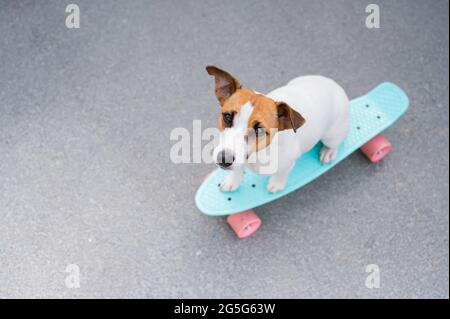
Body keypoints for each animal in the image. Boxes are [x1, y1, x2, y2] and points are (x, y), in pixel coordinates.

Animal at [206, 65, 350, 192]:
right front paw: (232, 181)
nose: (224, 159)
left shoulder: (288, 163)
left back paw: (329, 152)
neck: (258, 153)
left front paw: (276, 184)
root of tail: (333, 84)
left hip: (332, 135)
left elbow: (281, 174)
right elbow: (237, 170)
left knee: (335, 143)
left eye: (259, 130)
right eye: (227, 117)